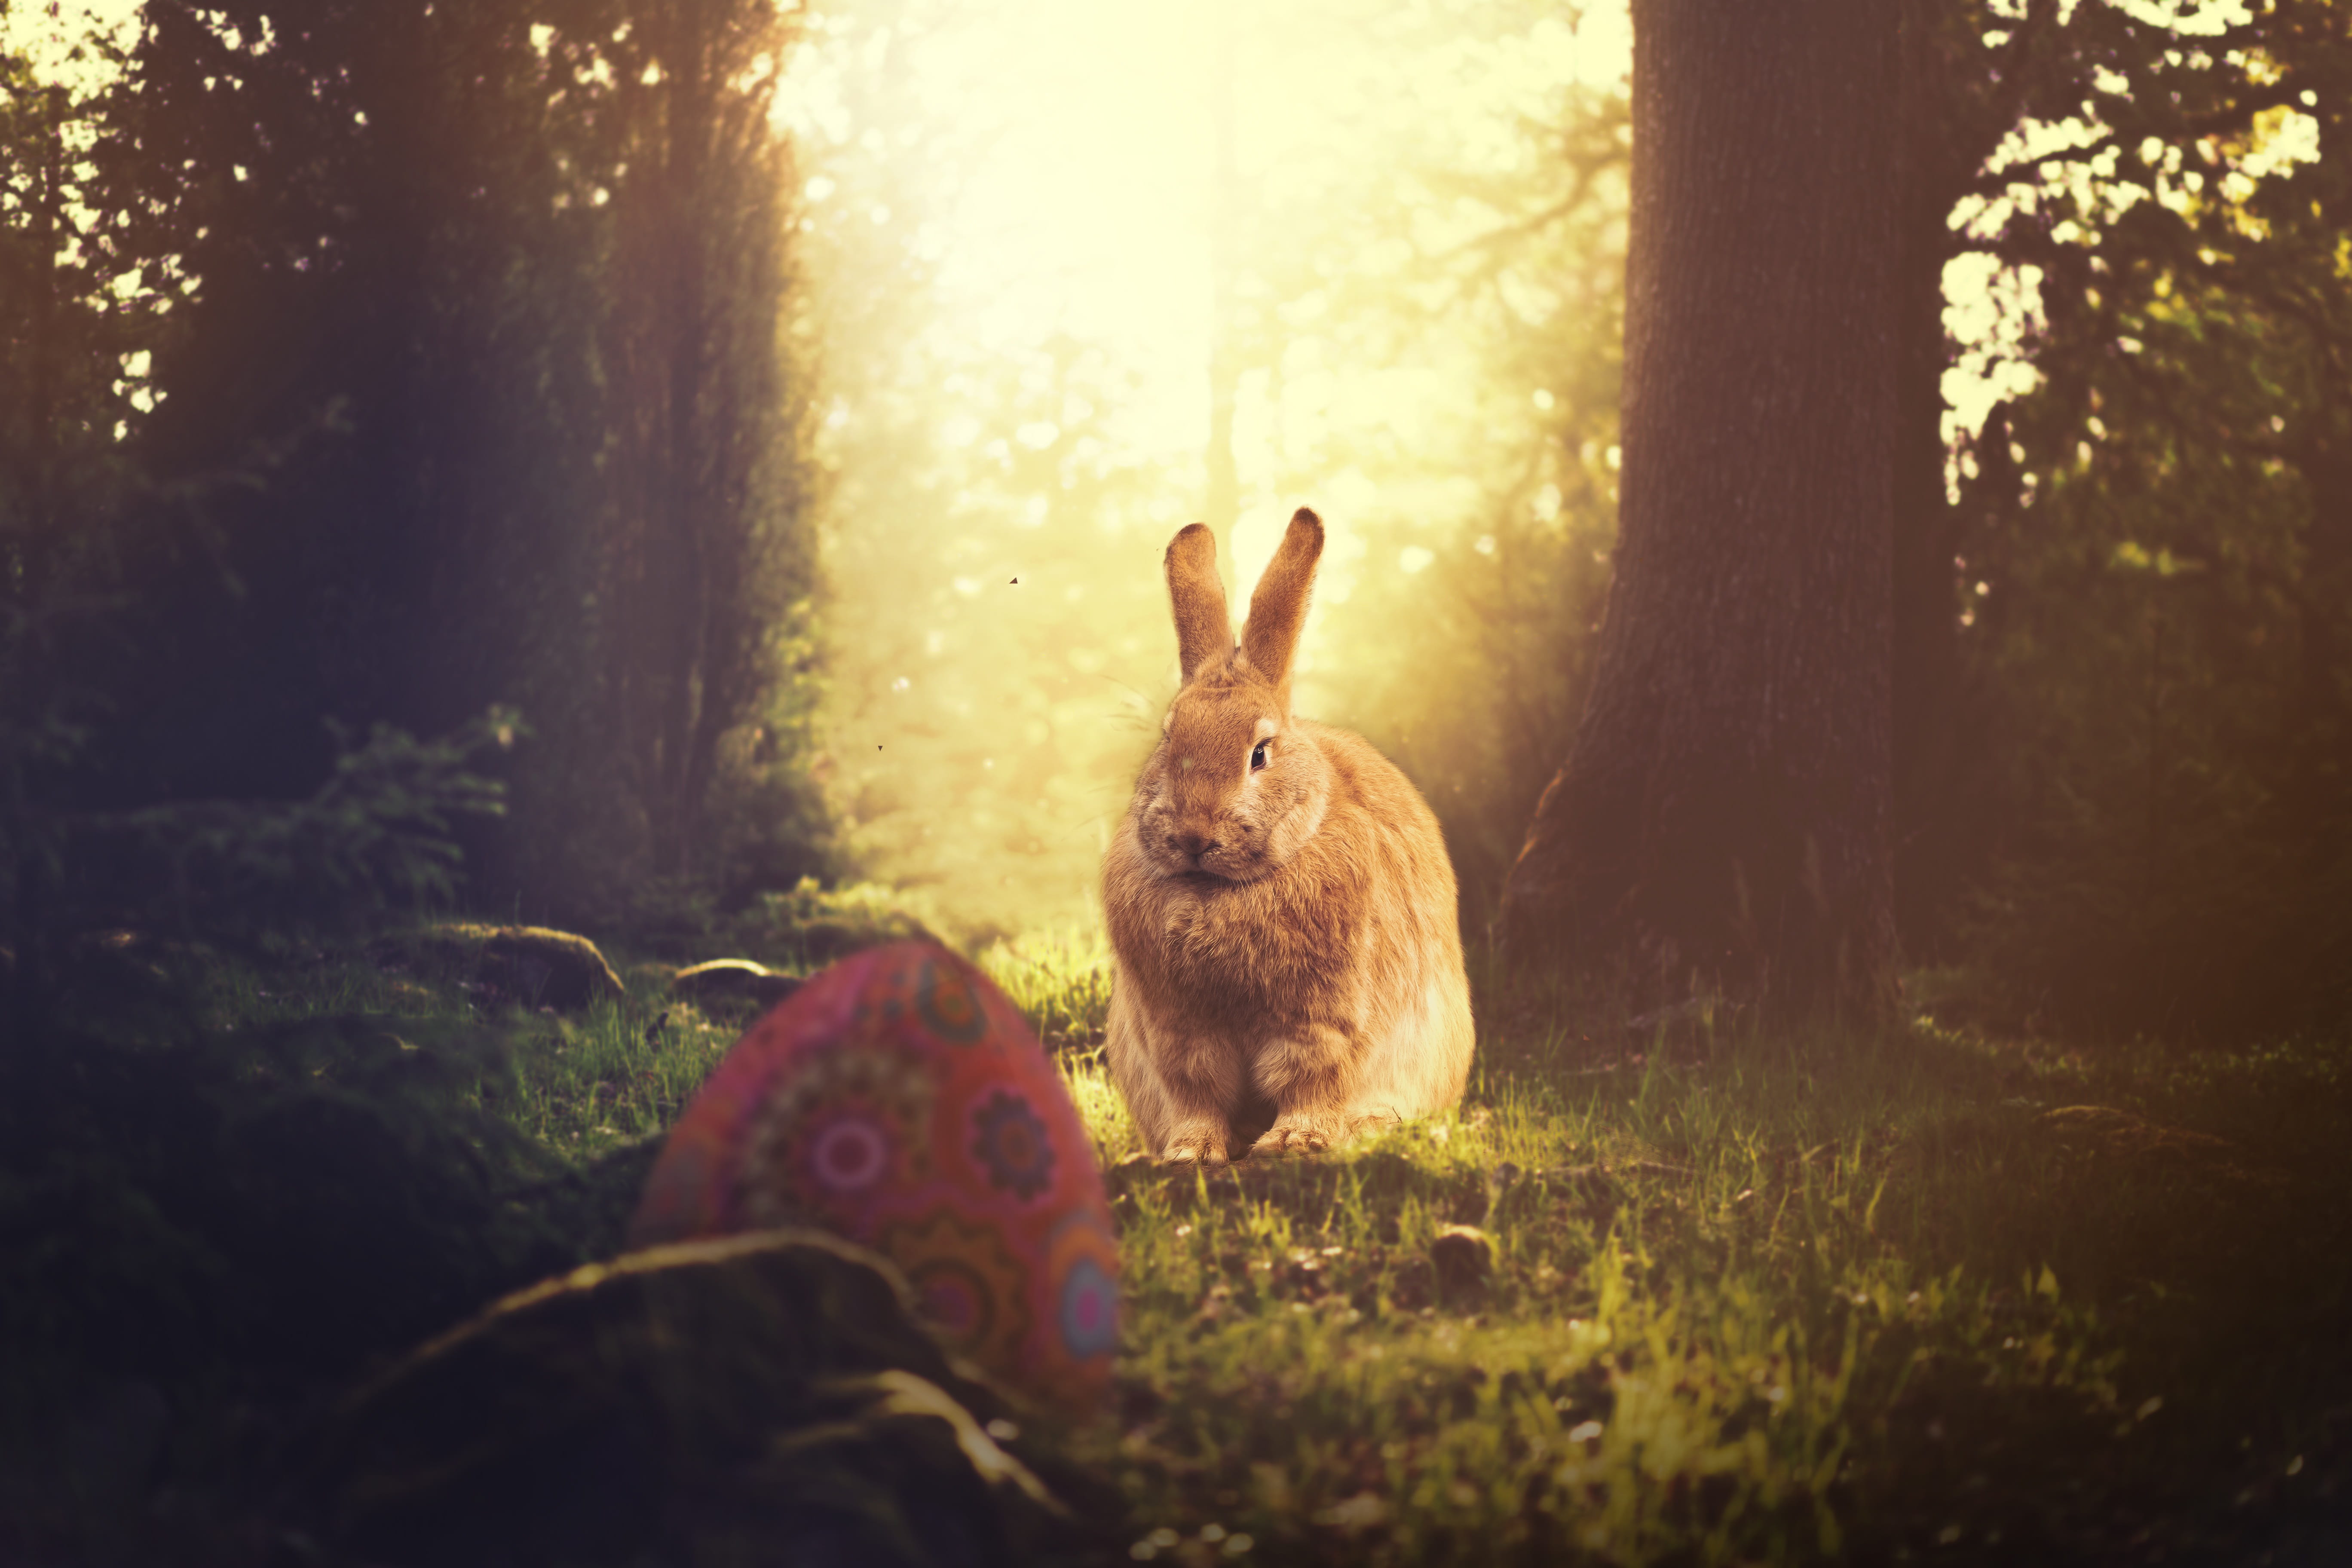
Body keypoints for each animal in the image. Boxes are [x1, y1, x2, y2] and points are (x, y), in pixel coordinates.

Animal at [1102, 507, 1475, 1165]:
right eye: (1168, 739)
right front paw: (1190, 1153)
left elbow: (1310, 1080)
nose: (1194, 834)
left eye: (1260, 753)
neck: (1219, 888)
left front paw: (1293, 1142)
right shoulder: (1178, 1033)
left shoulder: (1321, 1022)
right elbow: (1197, 1094)